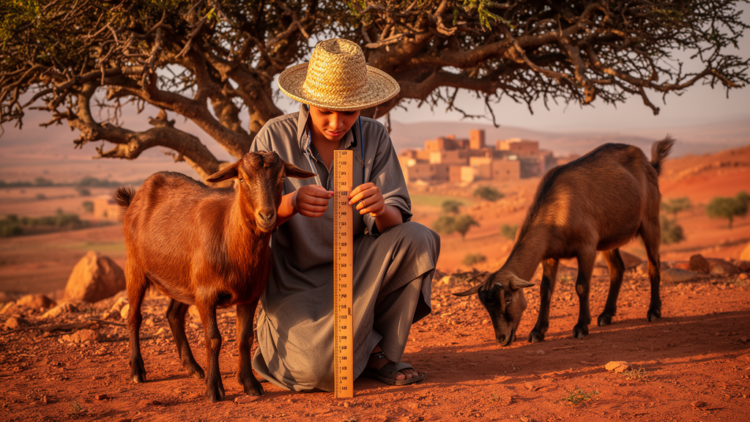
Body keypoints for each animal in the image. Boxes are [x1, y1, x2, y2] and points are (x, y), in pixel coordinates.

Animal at [114, 151, 314, 402]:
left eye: (282, 177)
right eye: (242, 178)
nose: (267, 216)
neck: (230, 239)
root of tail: (136, 198)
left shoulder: (250, 294)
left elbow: (245, 337)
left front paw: (250, 383)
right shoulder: (206, 295)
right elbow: (213, 338)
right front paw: (213, 389)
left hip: (184, 280)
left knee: (173, 314)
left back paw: (192, 367)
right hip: (135, 266)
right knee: (134, 316)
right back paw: (137, 370)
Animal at [455, 138, 674, 346]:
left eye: (507, 299)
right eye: (485, 307)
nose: (502, 338)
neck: (558, 208)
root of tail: (650, 164)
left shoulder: (587, 247)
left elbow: (581, 286)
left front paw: (581, 327)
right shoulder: (550, 255)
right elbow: (545, 290)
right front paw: (538, 331)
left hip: (650, 220)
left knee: (653, 264)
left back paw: (654, 311)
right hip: (608, 238)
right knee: (617, 268)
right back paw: (606, 315)